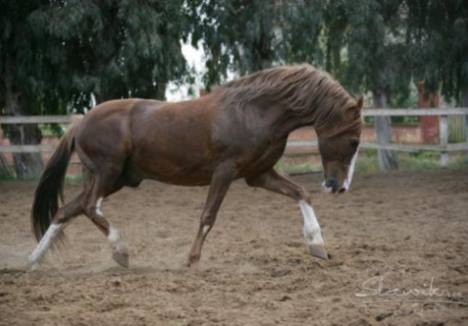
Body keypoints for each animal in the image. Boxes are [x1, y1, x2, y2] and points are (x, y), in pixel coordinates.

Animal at [28, 65, 362, 268]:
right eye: (354, 141)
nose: (339, 187)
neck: (254, 111)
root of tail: (79, 123)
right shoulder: (225, 170)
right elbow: (208, 216)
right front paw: (191, 259)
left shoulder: (258, 174)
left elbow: (301, 193)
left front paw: (317, 246)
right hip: (107, 173)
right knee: (88, 207)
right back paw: (120, 251)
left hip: (114, 178)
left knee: (65, 211)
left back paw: (32, 262)